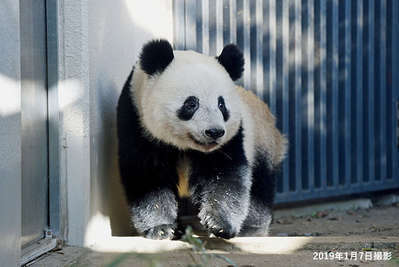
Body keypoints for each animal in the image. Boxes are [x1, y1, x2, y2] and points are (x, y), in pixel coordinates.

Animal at [116, 39, 288, 241]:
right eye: (191, 103)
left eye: (221, 104)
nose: (214, 132)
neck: (184, 145)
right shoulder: (137, 122)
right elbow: (148, 176)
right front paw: (161, 228)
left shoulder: (232, 138)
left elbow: (224, 175)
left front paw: (219, 224)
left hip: (261, 142)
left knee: (260, 185)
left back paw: (251, 229)